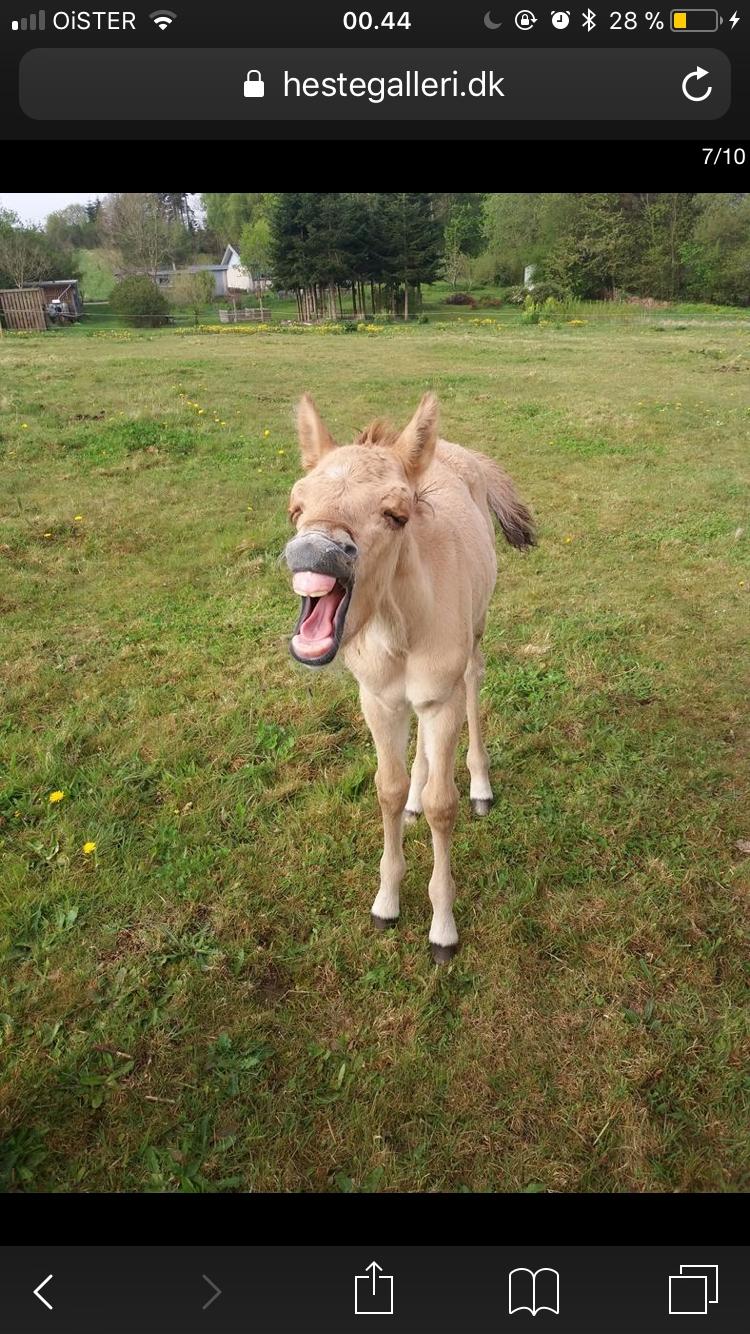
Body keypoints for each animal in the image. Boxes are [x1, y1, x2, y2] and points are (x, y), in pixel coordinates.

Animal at [281, 389, 531, 965]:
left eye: (396, 514)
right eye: (296, 507)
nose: (314, 551)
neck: (399, 626)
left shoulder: (442, 701)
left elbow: (445, 806)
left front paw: (443, 929)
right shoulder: (377, 699)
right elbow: (387, 790)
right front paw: (387, 902)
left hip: (473, 639)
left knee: (474, 681)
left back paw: (481, 785)